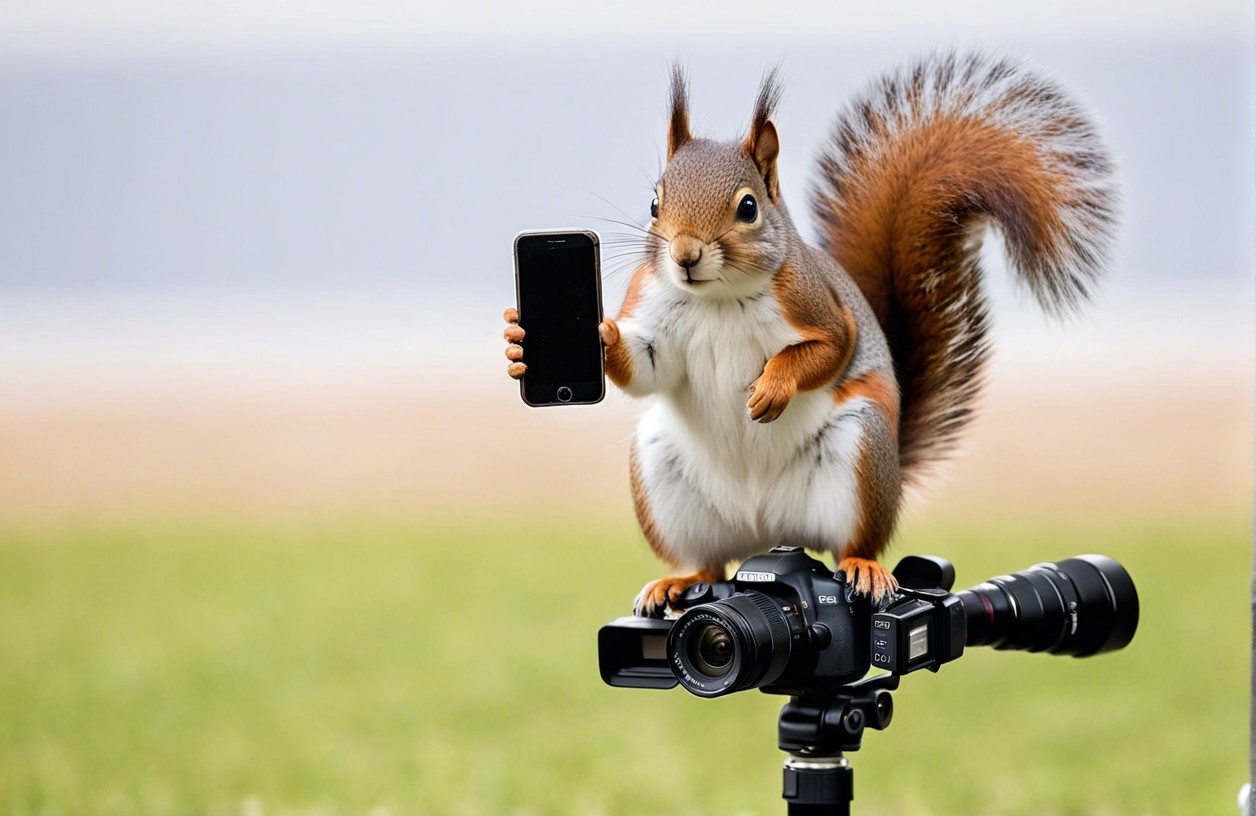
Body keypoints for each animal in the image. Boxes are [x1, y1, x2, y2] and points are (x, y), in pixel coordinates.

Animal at [503, 52, 1117, 616]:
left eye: (748, 207)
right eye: (654, 203)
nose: (684, 255)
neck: (717, 298)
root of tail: (763, 529)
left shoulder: (820, 310)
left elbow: (826, 351)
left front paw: (771, 388)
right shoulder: (654, 312)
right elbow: (648, 363)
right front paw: (550, 340)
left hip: (859, 454)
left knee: (852, 542)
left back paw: (863, 567)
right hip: (664, 478)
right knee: (710, 564)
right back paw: (678, 581)